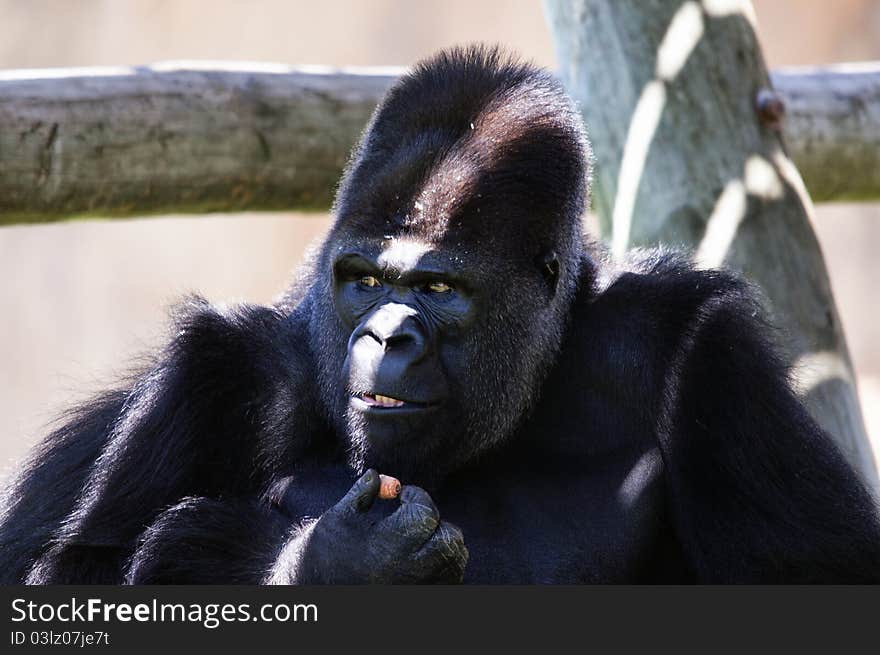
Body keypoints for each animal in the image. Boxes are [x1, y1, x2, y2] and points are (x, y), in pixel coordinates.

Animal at [1, 46, 880, 584]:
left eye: (439, 290)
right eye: (362, 279)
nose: (387, 334)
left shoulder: (701, 351)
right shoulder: (220, 369)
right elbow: (79, 573)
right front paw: (336, 562)